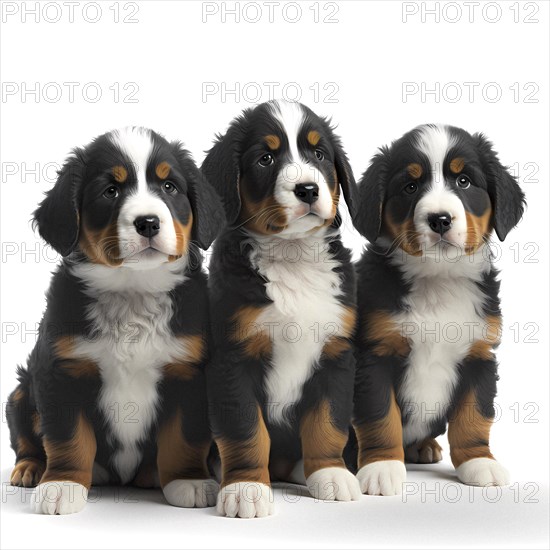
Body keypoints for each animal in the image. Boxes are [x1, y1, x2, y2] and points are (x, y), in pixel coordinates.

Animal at [5, 127, 225, 516]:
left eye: (169, 187)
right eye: (110, 191)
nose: (148, 222)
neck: (132, 291)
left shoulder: (188, 373)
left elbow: (184, 436)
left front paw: (190, 481)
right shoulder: (61, 371)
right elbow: (67, 436)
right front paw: (62, 484)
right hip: (20, 391)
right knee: (27, 441)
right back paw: (30, 469)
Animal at [203, 101, 362, 520]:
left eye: (319, 155)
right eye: (266, 158)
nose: (307, 189)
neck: (292, 257)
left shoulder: (335, 353)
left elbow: (327, 422)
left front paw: (331, 474)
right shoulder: (234, 359)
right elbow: (246, 430)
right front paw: (245, 488)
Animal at [352, 125, 528, 496]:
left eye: (464, 181)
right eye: (410, 186)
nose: (440, 220)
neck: (438, 279)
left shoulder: (479, 354)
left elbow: (474, 417)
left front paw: (479, 462)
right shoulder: (374, 354)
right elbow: (379, 415)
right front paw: (381, 467)